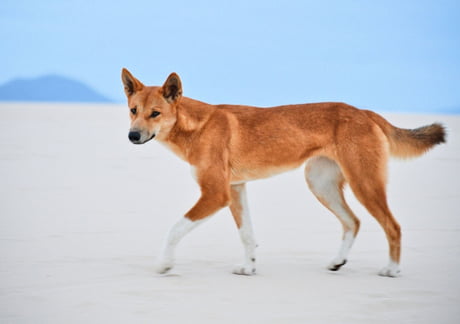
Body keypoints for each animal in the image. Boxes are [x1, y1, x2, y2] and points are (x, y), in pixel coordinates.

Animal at [120, 68, 444, 276]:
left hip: (364, 183)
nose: (132, 136)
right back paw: (337, 262)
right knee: (353, 221)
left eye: (155, 114)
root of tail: (365, 112)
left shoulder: (215, 193)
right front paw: (249, 267)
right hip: (321, 184)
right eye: (133, 110)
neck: (196, 126)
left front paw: (164, 264)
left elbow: (174, 229)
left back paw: (392, 269)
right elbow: (247, 234)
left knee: (393, 226)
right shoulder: (235, 189)